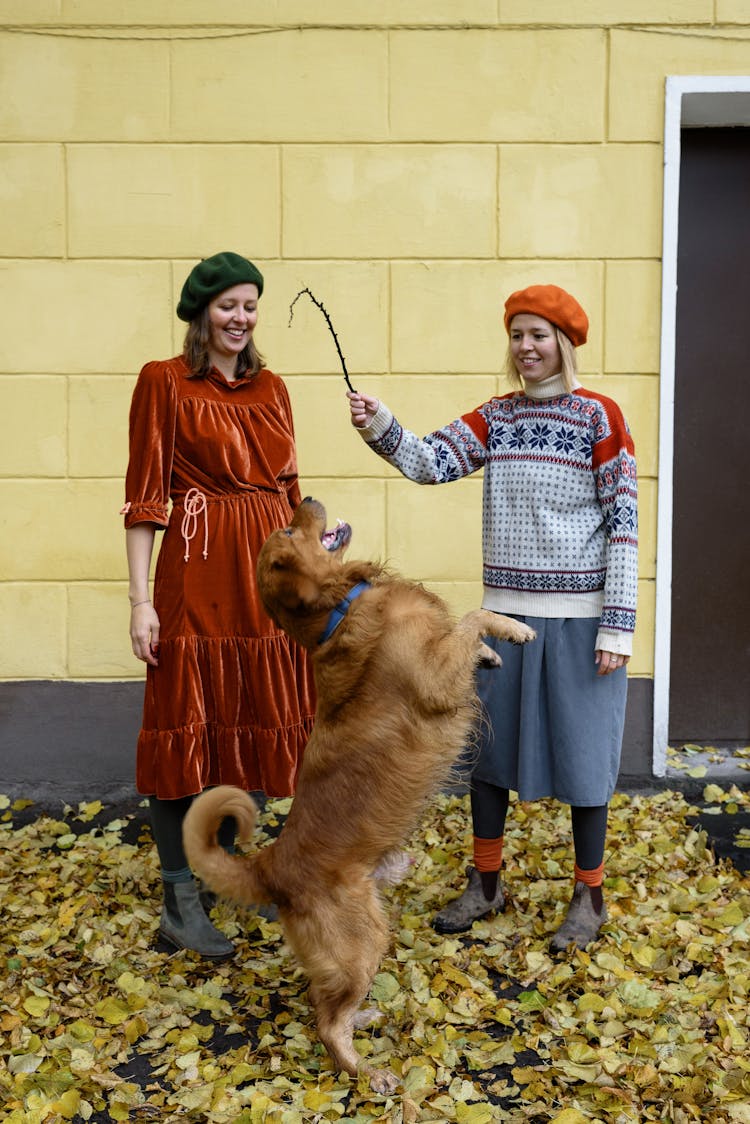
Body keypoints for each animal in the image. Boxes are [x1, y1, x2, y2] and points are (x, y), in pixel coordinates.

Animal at [181, 496, 532, 1092]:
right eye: (287, 528)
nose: (304, 498)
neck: (338, 613)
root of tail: (270, 866)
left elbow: (466, 628)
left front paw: (487, 652)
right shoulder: (437, 679)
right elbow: (471, 618)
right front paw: (509, 628)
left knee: (325, 1003)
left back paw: (364, 1017)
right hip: (364, 941)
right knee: (327, 1023)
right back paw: (370, 1073)